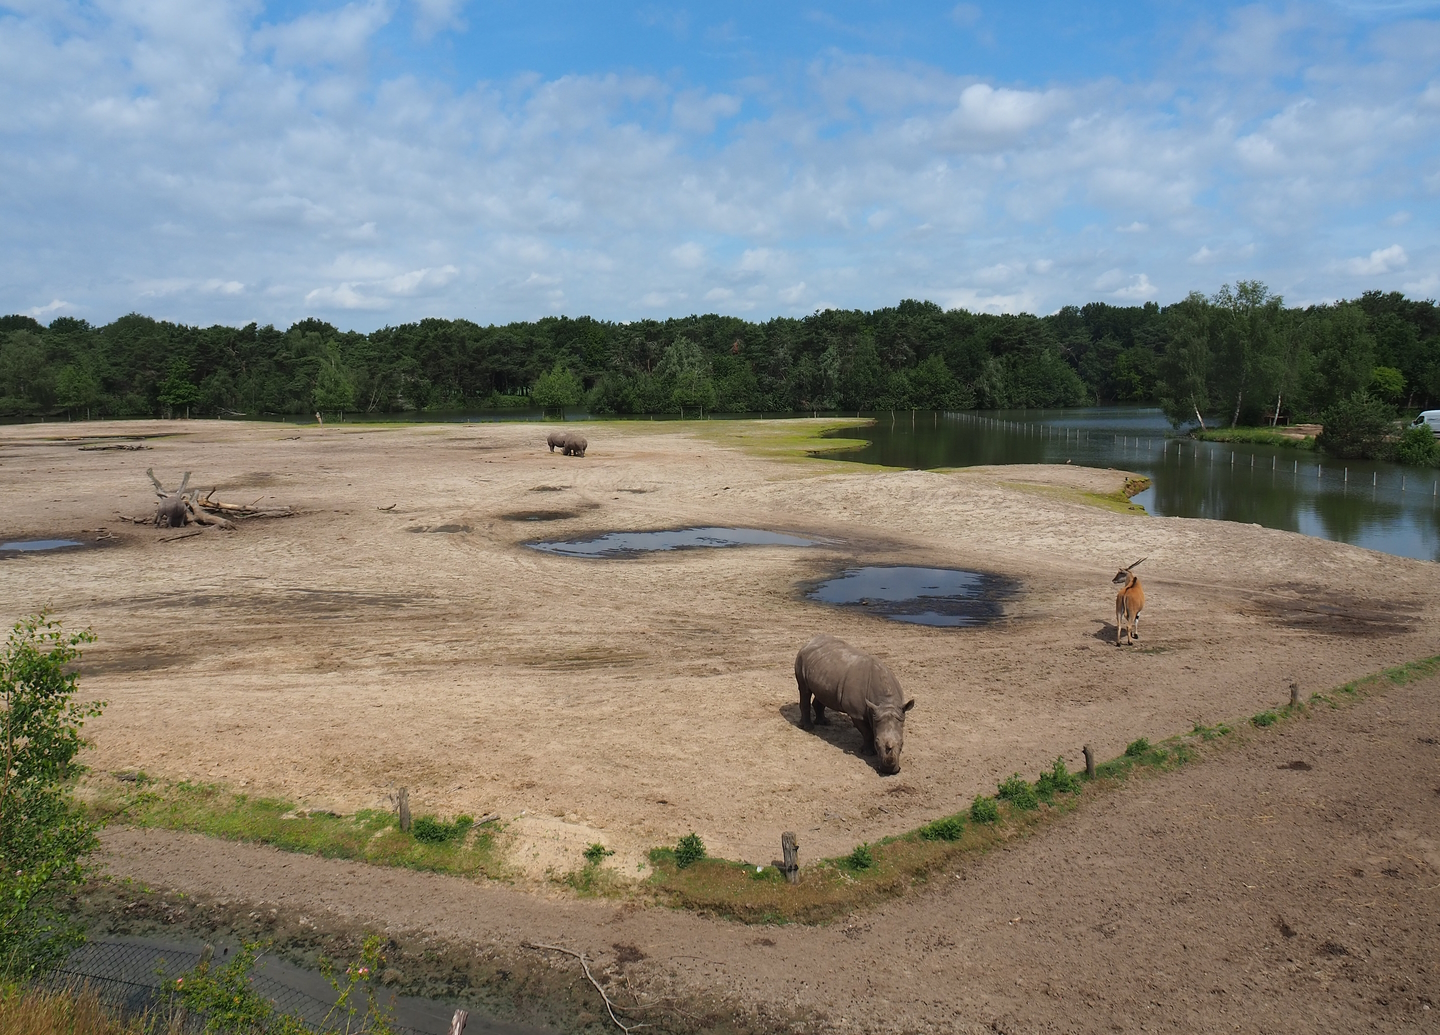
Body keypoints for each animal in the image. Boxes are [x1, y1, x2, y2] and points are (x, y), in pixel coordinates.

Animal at [794, 634, 915, 774]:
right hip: (801, 658)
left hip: (822, 666)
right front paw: (868, 753)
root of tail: (809, 642)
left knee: (822, 692)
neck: (886, 702)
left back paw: (824, 722)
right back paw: (808, 727)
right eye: (877, 743)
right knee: (804, 689)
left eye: (902, 743)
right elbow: (867, 732)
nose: (888, 771)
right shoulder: (856, 713)